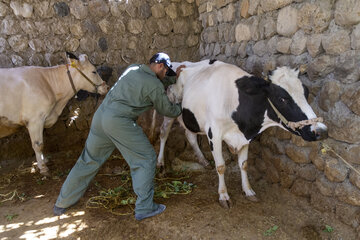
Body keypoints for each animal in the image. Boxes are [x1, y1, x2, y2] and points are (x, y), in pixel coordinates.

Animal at [156, 59, 328, 208]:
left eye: (306, 93)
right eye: (282, 99)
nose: (321, 131)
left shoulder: (245, 137)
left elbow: (244, 164)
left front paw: (248, 190)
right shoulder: (214, 133)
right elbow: (221, 166)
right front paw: (224, 195)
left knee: (190, 136)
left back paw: (203, 161)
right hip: (169, 110)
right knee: (163, 134)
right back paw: (161, 165)